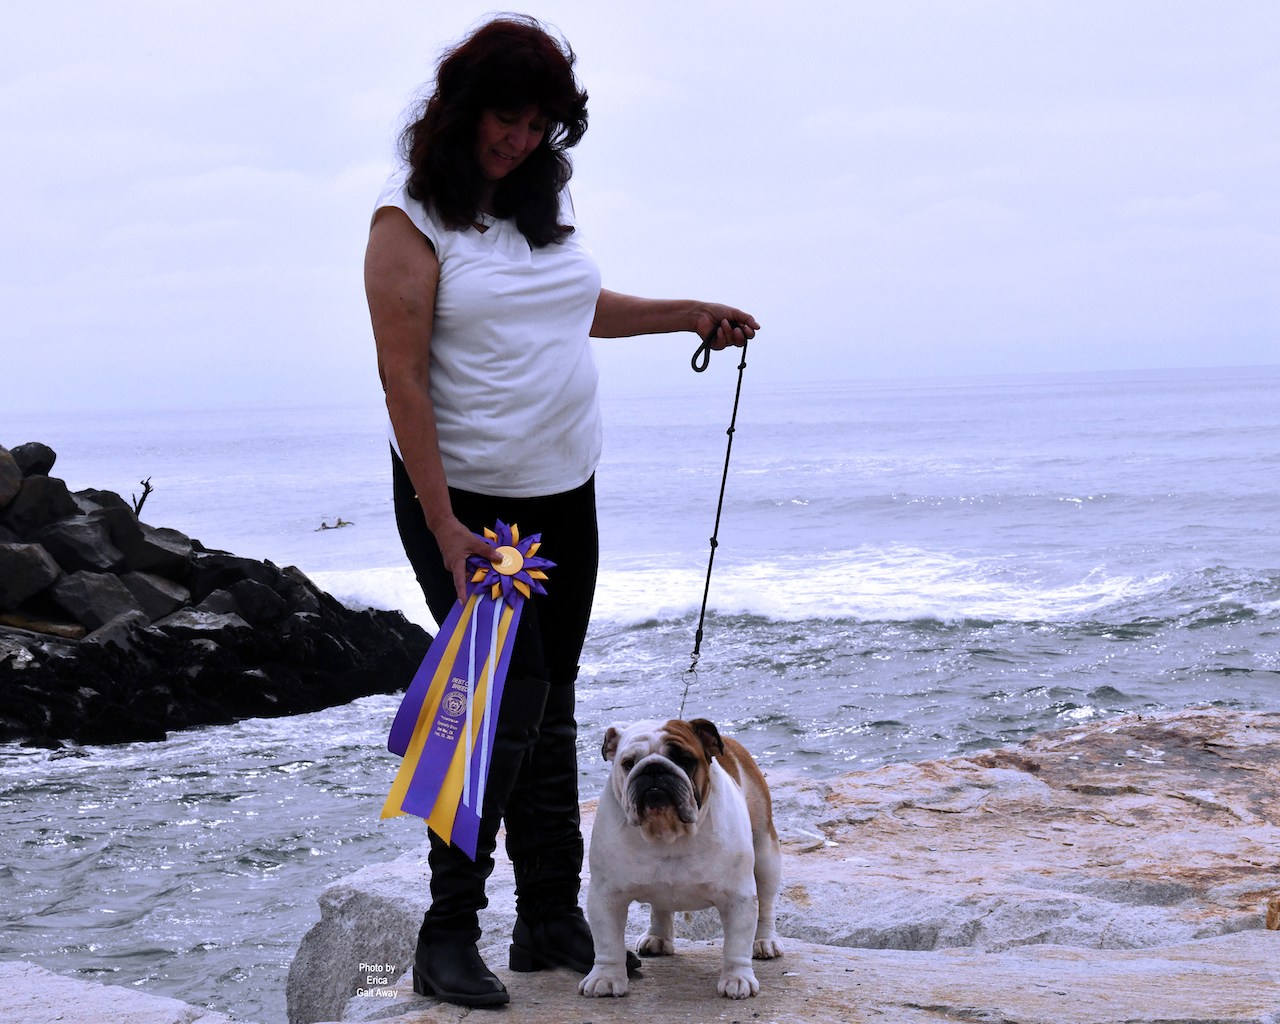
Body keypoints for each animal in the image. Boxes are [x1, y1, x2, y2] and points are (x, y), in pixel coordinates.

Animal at [578, 718, 783, 999]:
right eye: (628, 763)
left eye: (685, 760)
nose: (653, 768)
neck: (667, 832)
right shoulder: (606, 896)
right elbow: (608, 942)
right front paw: (606, 978)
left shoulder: (737, 897)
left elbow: (736, 945)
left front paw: (737, 979)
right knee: (661, 906)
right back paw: (658, 937)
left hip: (765, 854)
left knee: (766, 901)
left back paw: (765, 941)